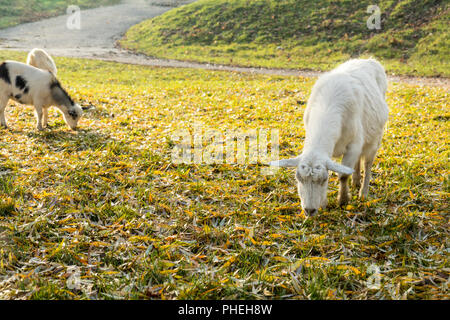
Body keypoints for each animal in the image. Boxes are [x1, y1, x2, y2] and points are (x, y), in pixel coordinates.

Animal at [268, 58, 388, 216]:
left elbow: (343, 175)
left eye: (323, 181)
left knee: (368, 163)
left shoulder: (353, 145)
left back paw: (363, 192)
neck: (326, 107)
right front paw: (324, 202)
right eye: (298, 178)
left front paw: (343, 200)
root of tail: (369, 59)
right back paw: (356, 181)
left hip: (375, 138)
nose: (309, 210)